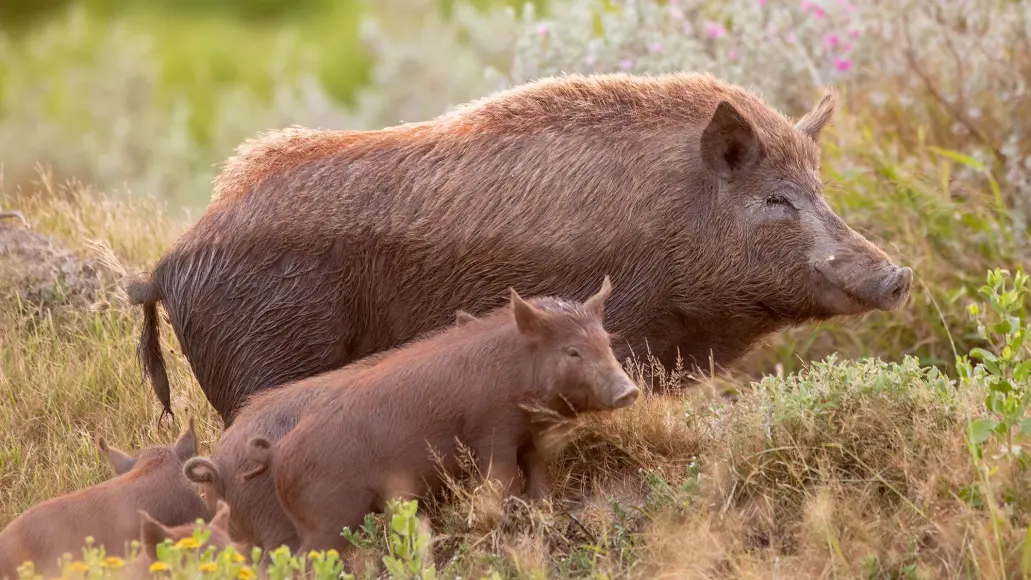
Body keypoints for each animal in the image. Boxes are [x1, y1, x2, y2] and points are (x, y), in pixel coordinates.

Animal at [250, 278, 639, 552]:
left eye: (606, 340)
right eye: (572, 351)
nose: (630, 391)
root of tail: (277, 452)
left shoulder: (529, 435)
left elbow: (537, 472)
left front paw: (542, 510)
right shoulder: (492, 428)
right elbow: (501, 478)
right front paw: (503, 520)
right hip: (327, 518)